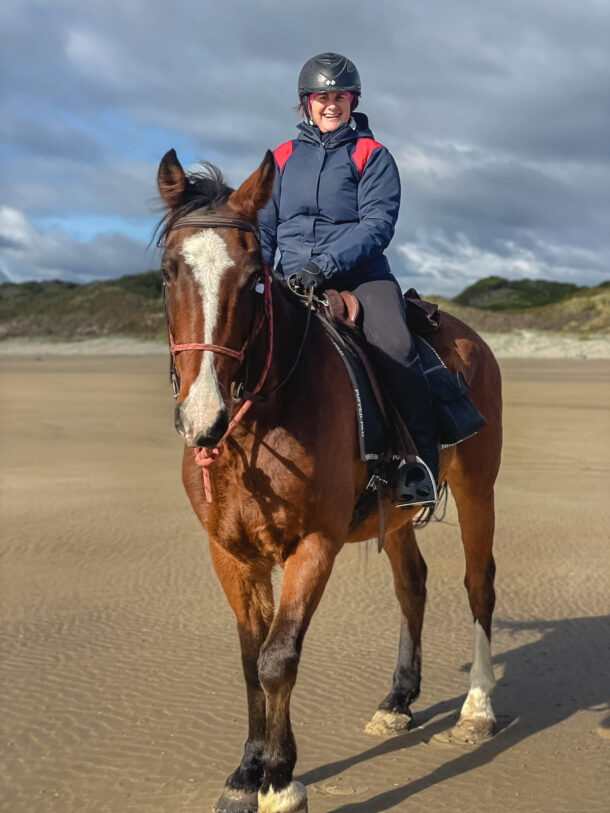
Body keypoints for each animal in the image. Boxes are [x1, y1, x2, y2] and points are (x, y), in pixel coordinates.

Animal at [156, 148, 502, 813]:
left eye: (254, 278)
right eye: (167, 273)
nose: (203, 417)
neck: (257, 422)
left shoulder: (314, 545)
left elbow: (278, 657)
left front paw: (280, 779)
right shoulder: (230, 551)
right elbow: (251, 657)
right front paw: (246, 772)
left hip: (479, 490)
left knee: (479, 585)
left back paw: (476, 709)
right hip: (398, 513)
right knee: (412, 584)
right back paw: (398, 700)